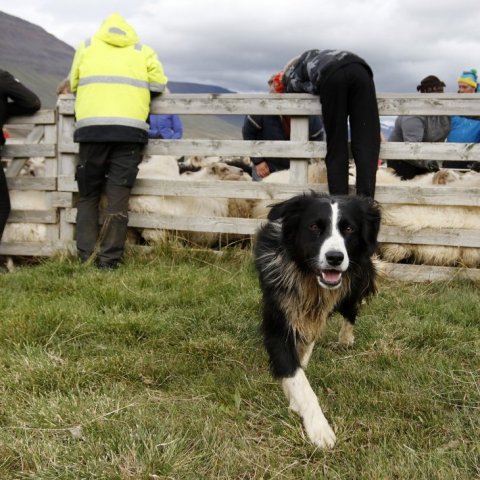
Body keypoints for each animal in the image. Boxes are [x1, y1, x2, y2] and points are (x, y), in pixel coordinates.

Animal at [253, 191, 380, 450]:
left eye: (349, 229)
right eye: (314, 227)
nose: (335, 258)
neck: (307, 276)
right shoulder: (278, 315)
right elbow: (297, 376)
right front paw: (318, 427)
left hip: (353, 285)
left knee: (350, 312)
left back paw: (345, 339)